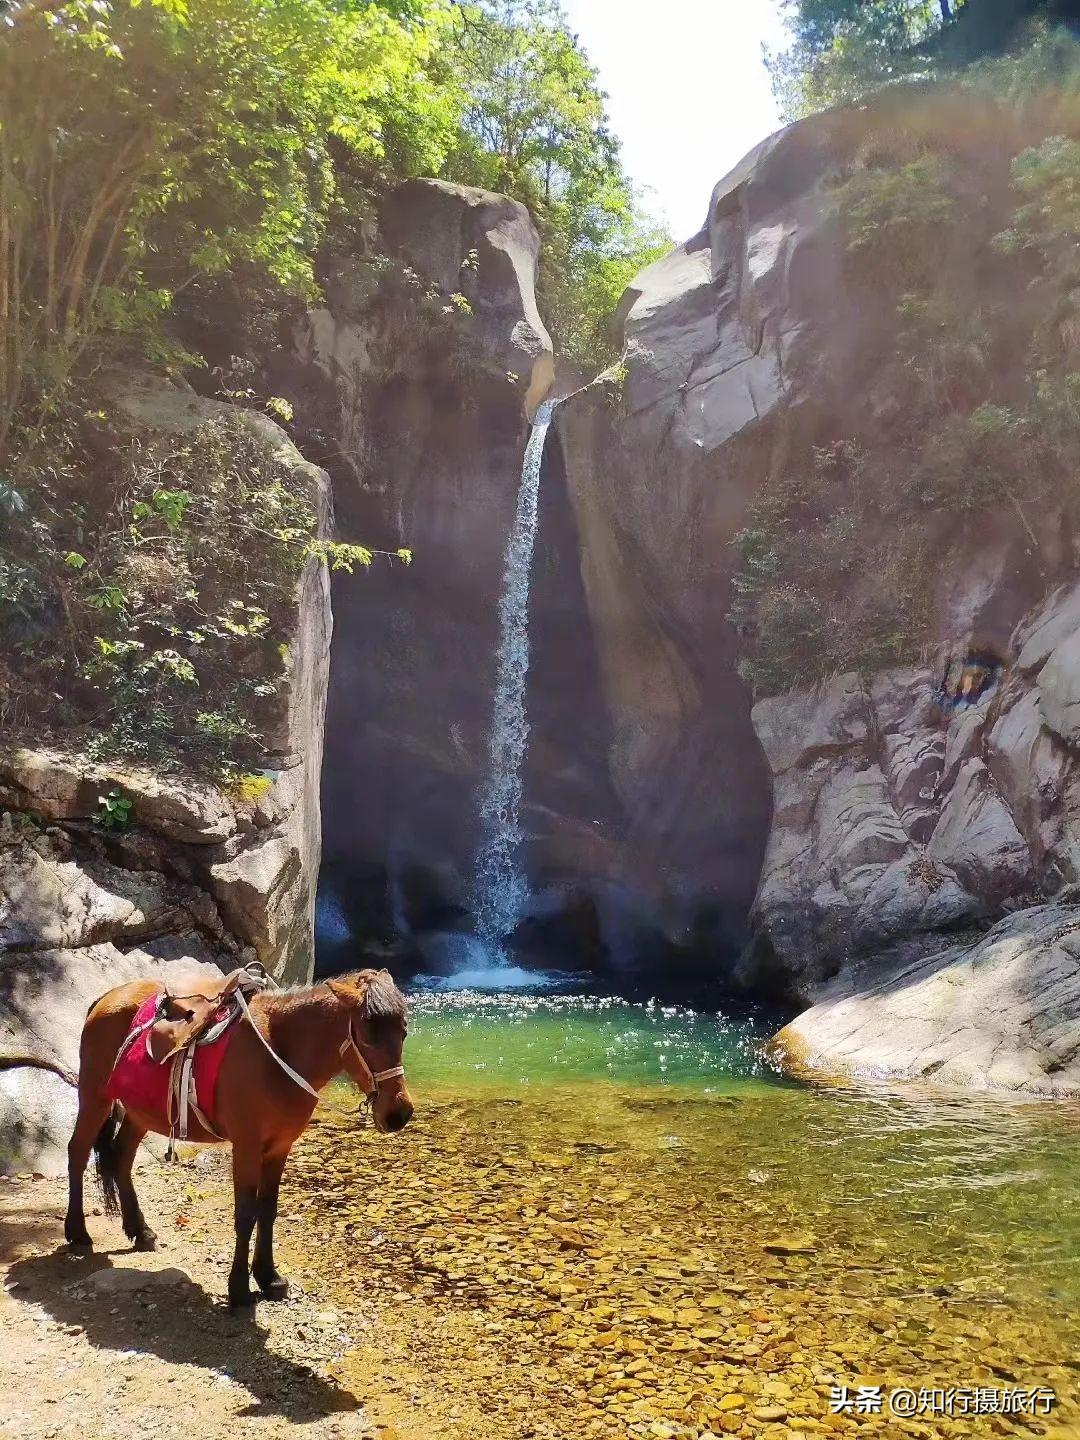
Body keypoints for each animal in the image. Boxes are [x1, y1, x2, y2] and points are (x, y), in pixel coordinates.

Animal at [62, 967, 414, 1307]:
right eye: (367, 1034)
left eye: (404, 1032)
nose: (399, 1114)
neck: (278, 1053)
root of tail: (105, 998)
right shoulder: (246, 1146)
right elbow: (245, 1214)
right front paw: (240, 1288)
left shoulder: (279, 1147)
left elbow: (267, 1210)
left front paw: (269, 1277)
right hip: (94, 1097)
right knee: (77, 1152)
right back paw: (77, 1233)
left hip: (140, 1113)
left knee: (121, 1158)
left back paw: (141, 1231)